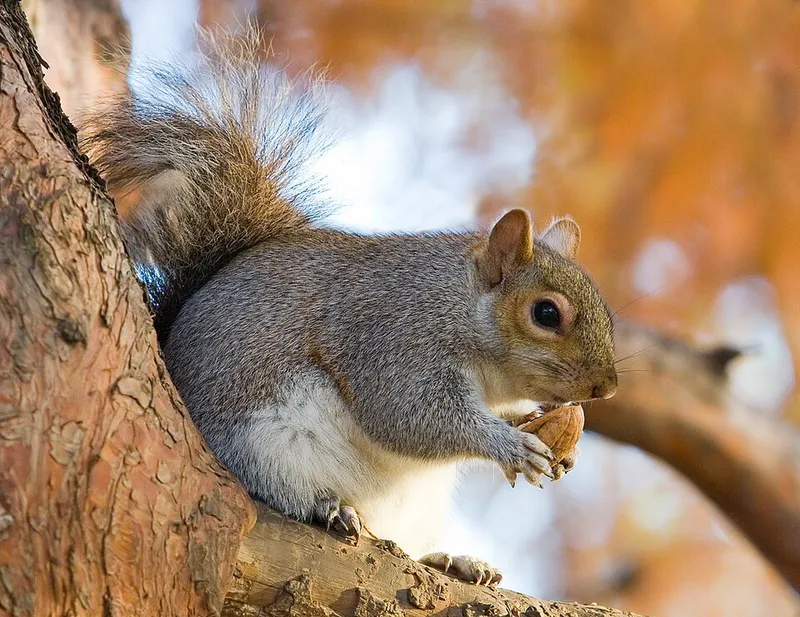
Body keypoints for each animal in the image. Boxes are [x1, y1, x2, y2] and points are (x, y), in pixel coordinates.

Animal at [80, 27, 617, 587]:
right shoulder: (393, 339)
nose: (606, 387)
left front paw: (543, 430)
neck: (460, 309)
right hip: (261, 445)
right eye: (547, 314)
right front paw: (509, 445)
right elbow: (408, 415)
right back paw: (328, 507)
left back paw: (453, 561)